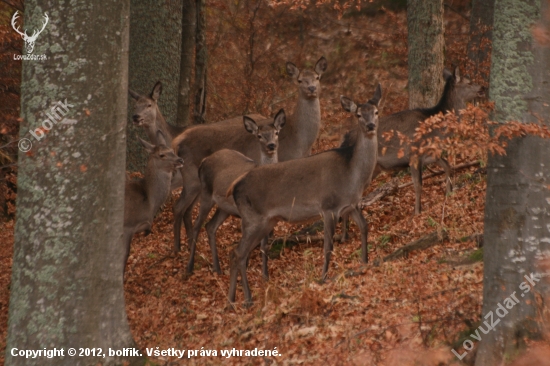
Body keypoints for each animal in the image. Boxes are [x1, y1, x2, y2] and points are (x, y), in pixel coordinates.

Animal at [171, 56, 328, 252]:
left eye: (317, 77)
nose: (312, 88)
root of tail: (177, 141)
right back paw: (177, 249)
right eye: (299, 80)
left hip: (198, 183)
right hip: (191, 176)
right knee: (178, 207)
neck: (299, 141)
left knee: (188, 209)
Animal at [188, 110, 286, 276]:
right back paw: (189, 268)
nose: (271, 145)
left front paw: (265, 275)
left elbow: (264, 245)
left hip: (224, 207)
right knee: (196, 226)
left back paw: (217, 268)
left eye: (276, 132)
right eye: (259, 135)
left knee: (210, 226)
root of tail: (204, 160)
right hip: (206, 193)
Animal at [225, 83, 384, 306]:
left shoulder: (350, 204)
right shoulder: (328, 206)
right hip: (253, 218)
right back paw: (247, 299)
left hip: (266, 221)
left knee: (237, 253)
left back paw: (232, 300)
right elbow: (328, 246)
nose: (370, 126)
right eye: (359, 114)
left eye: (376, 111)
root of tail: (235, 186)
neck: (353, 175)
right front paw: (323, 277)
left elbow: (364, 226)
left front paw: (364, 261)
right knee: (239, 253)